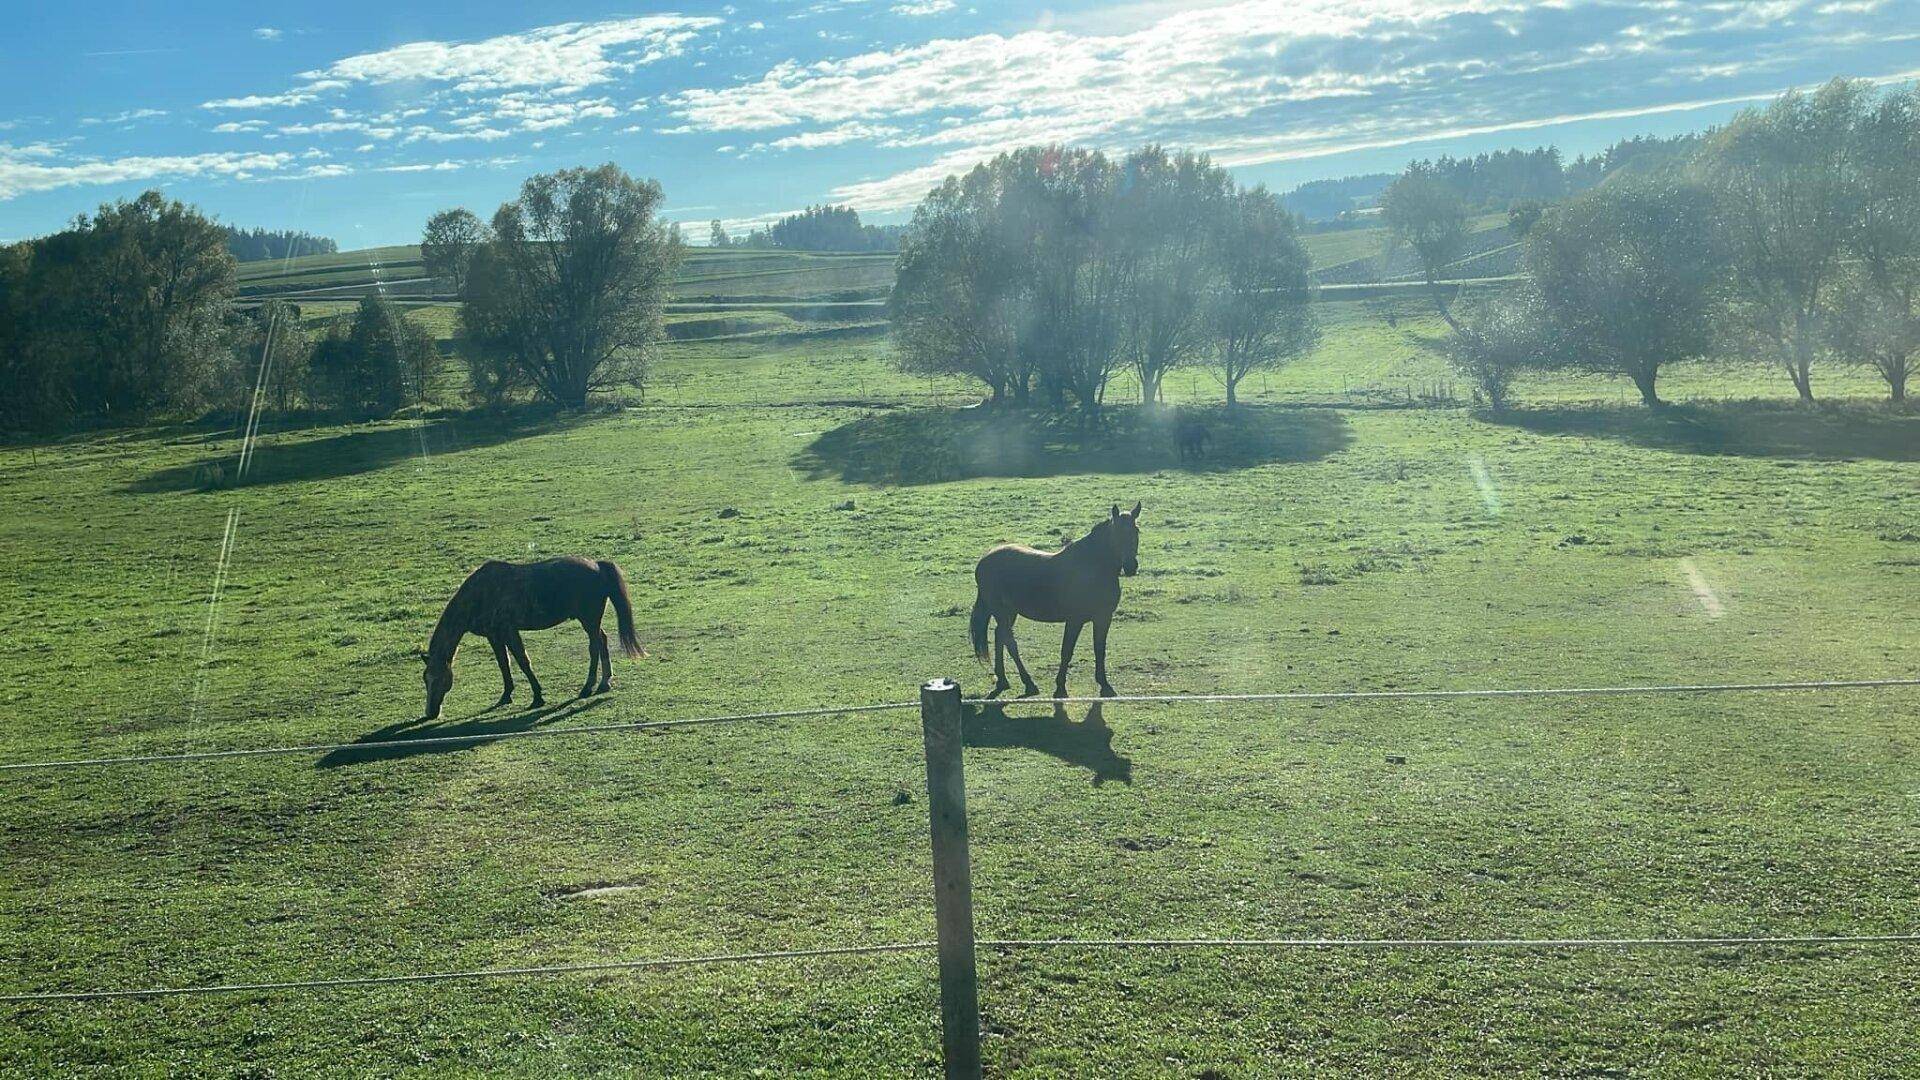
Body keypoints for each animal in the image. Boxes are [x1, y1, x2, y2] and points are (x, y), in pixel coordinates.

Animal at [422, 556, 644, 721]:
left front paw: (537, 697)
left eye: (440, 679)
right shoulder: (494, 636)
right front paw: (506, 695)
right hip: (591, 621)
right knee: (602, 641)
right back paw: (604, 682)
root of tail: (597, 565)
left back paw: (588, 687)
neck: (481, 594)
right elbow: (504, 664)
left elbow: (523, 662)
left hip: (588, 620)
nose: (431, 713)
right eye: (426, 679)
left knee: (594, 647)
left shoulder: (509, 631)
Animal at [969, 503, 1142, 699]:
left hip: (1009, 612)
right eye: (1117, 532)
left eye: (1136, 531)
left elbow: (1100, 649)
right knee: (1009, 641)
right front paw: (1060, 687)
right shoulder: (1074, 620)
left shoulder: (1103, 618)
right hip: (1000, 611)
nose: (1131, 566)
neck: (1092, 567)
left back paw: (1003, 680)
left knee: (1000, 637)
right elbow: (1066, 650)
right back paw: (1028, 684)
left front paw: (1104, 684)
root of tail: (985, 559)